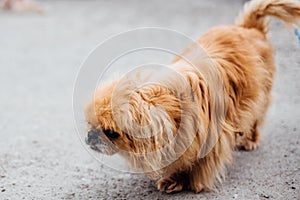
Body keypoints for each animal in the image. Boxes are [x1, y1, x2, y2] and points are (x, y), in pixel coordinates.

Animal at [84, 0, 300, 194]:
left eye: (111, 133)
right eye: (90, 125)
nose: (89, 137)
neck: (174, 108)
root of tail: (248, 28)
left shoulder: (211, 141)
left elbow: (199, 166)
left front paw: (189, 183)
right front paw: (173, 179)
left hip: (259, 97)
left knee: (256, 117)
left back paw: (250, 139)